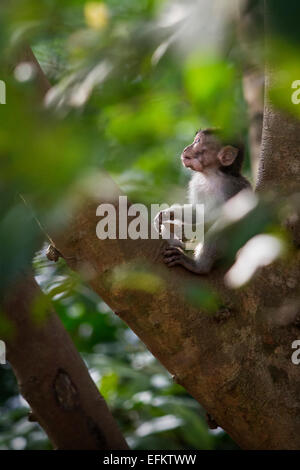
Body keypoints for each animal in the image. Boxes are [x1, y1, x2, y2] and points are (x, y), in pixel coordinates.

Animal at [162, 129, 251, 276]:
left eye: (197, 141)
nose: (186, 148)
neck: (211, 176)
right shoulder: (197, 183)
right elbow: (196, 212)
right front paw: (169, 214)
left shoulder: (232, 188)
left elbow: (229, 218)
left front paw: (183, 229)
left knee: (221, 227)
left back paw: (199, 266)